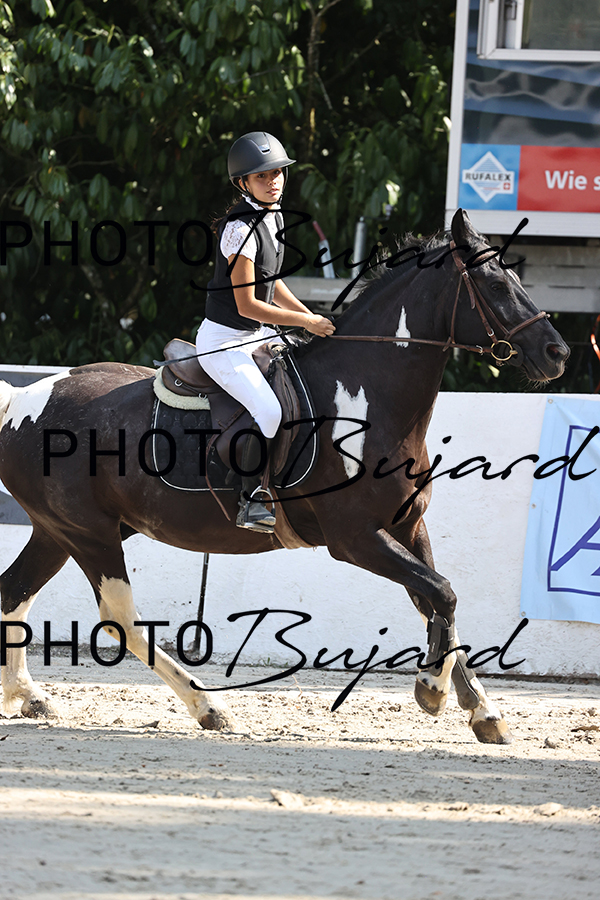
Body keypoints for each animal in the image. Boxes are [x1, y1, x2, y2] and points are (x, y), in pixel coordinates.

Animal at [0, 210, 569, 742]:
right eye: (496, 285)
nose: (557, 353)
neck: (365, 398)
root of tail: (22, 398)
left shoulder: (408, 525)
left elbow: (438, 601)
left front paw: (482, 711)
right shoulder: (355, 538)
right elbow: (442, 594)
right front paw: (432, 690)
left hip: (62, 531)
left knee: (14, 594)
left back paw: (29, 696)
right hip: (89, 534)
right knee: (119, 619)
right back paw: (209, 706)